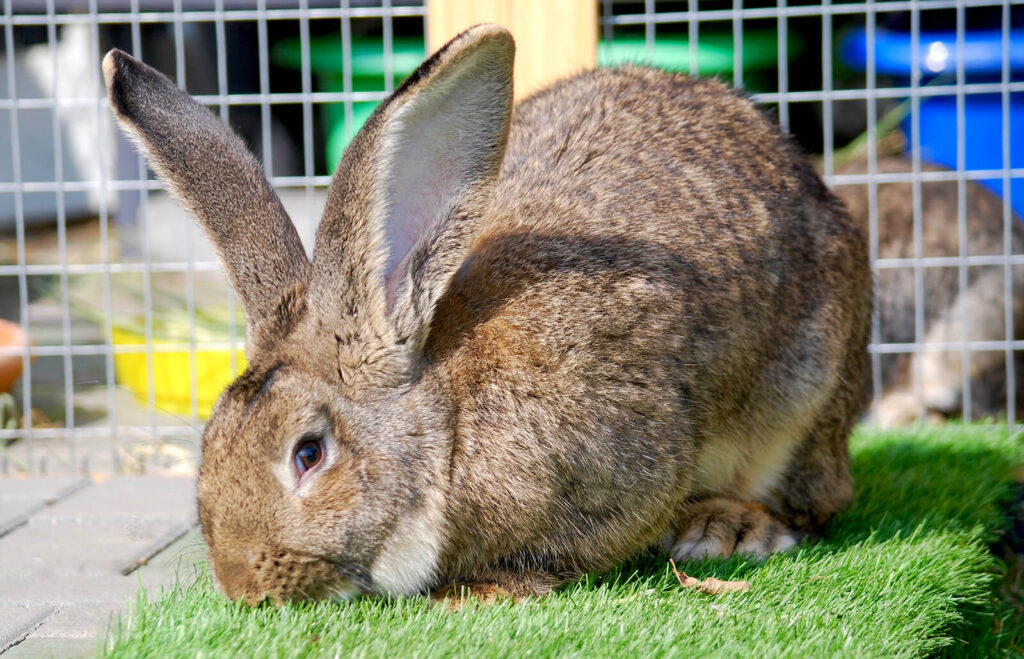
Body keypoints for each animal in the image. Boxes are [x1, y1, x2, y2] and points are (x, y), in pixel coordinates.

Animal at [102, 24, 871, 604]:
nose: (242, 587)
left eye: (309, 453)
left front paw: (478, 592)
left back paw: (730, 529)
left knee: (816, 498)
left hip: (805, 397)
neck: (449, 425)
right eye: (211, 442)